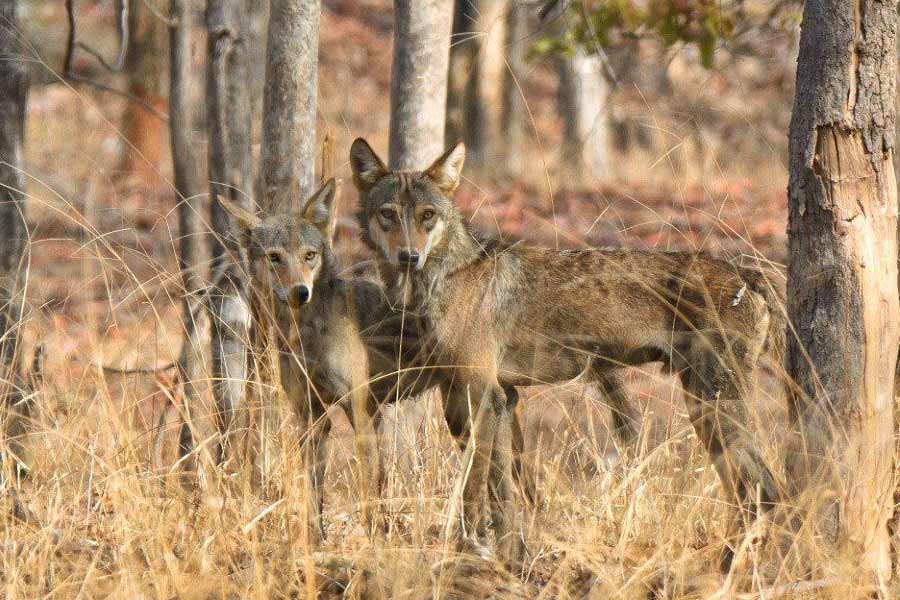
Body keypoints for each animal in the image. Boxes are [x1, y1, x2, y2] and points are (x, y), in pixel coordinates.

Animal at [350, 138, 785, 565]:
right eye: (388, 215)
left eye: (427, 216)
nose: (409, 257)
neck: (443, 278)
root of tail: (746, 272)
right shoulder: (489, 398)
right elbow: (507, 492)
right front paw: (514, 557)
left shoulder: (483, 396)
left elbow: (476, 490)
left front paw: (470, 551)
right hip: (706, 413)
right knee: (751, 494)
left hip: (713, 410)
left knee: (764, 491)